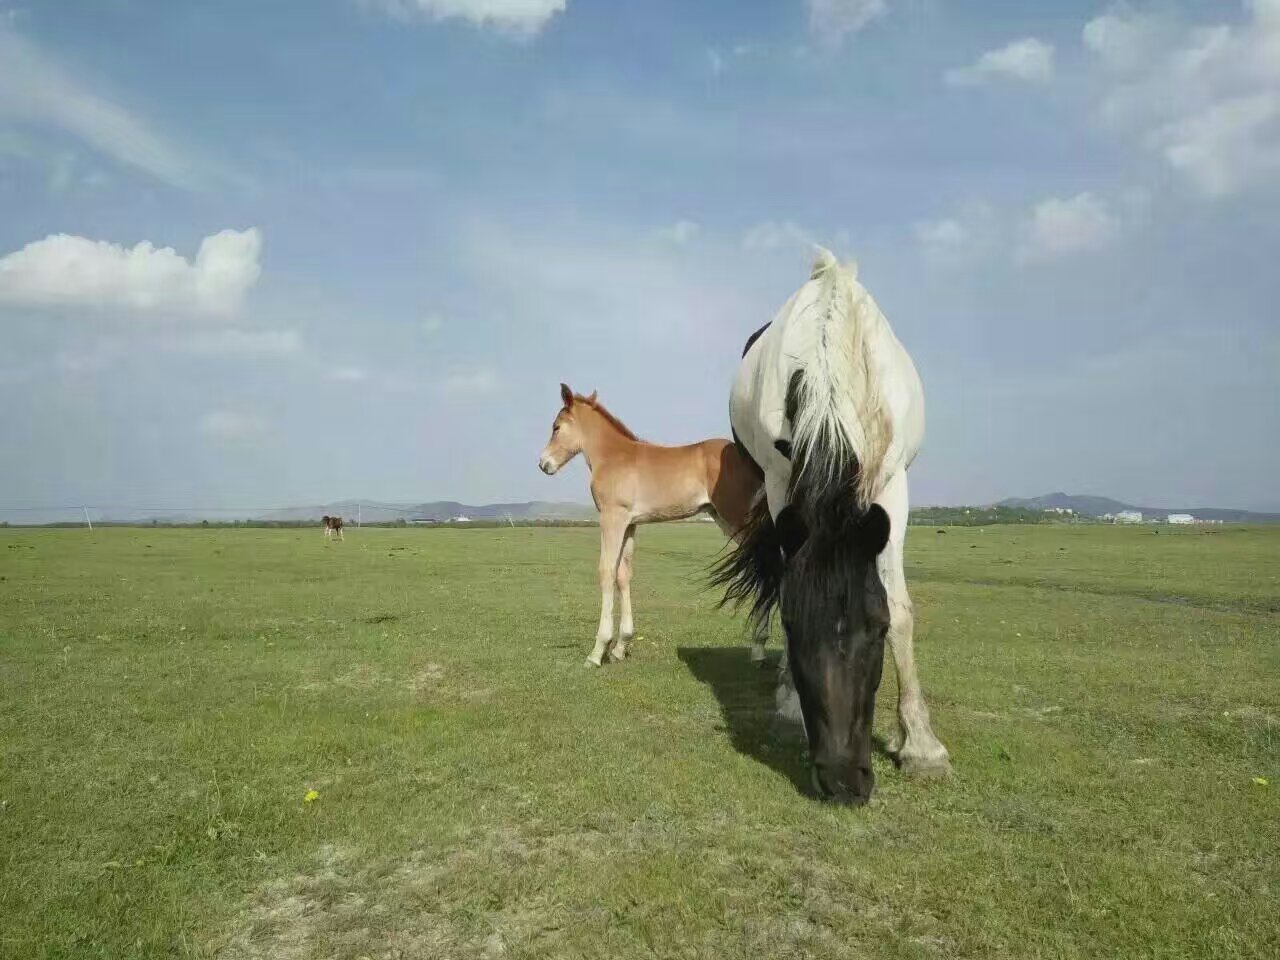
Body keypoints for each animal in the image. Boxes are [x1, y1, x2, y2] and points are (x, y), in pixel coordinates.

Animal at [539, 383, 765, 667]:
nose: (543, 464)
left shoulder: (612, 518)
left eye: (556, 427)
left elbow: (606, 572)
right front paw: (621, 646)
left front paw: (598, 651)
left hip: (737, 517)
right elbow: (623, 575)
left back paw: (760, 649)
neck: (613, 456)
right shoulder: (630, 524)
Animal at [713, 247, 950, 805]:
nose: (844, 783)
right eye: (796, 628)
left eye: (877, 630)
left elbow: (901, 607)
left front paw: (921, 744)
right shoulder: (780, 482)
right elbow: (783, 584)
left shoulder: (891, 485)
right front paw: (787, 703)